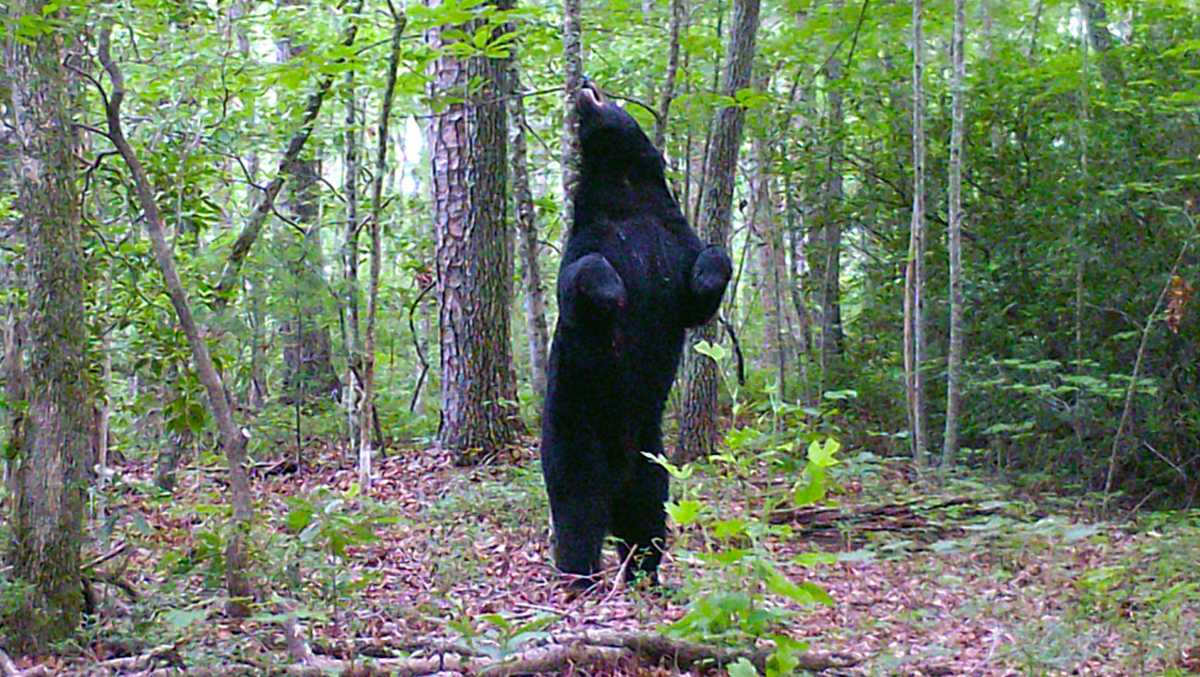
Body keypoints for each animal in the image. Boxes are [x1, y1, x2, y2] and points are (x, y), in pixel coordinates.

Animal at [542, 79, 729, 588]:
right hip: (574, 428)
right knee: (578, 507)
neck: (625, 191)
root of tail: (617, 473)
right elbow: (581, 277)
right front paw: (612, 293)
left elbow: (700, 285)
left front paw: (710, 271)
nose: (586, 84)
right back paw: (580, 577)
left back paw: (645, 575)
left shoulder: (672, 235)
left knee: (647, 516)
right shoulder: (591, 237)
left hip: (652, 459)